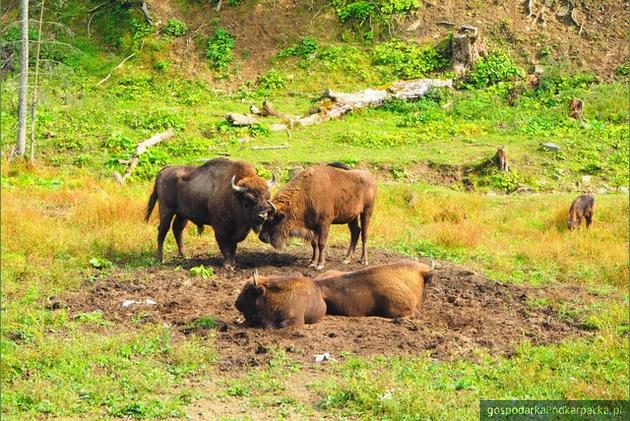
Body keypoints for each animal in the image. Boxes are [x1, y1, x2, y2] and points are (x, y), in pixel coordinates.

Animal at [148, 156, 278, 268]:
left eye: (267, 196)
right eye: (249, 198)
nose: (263, 216)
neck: (234, 195)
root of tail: (164, 171)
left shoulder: (235, 232)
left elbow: (233, 247)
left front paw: (234, 263)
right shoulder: (220, 228)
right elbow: (225, 247)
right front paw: (228, 265)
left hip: (182, 214)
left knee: (177, 229)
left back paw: (184, 255)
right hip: (166, 209)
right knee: (162, 231)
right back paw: (160, 259)